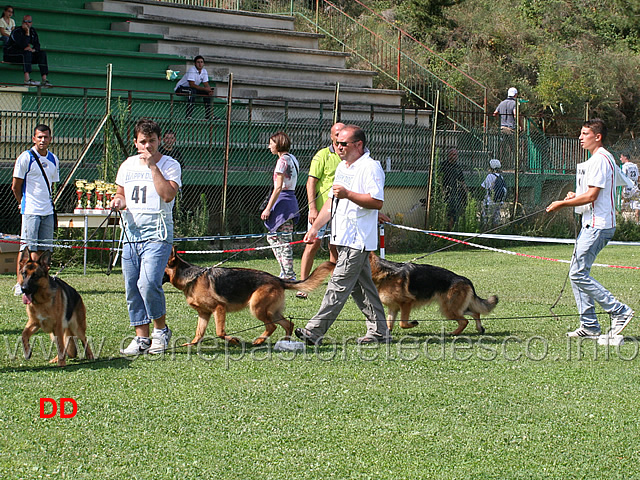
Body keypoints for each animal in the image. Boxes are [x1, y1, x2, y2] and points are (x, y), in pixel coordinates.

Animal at [164, 248, 336, 344]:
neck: (192, 278)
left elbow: (220, 332)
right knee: (288, 324)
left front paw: (233, 340)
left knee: (272, 326)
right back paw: (285, 342)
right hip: (272, 312)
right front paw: (190, 345)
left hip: (256, 308)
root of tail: (279, 279)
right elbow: (198, 333)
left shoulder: (219, 309)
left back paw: (259, 341)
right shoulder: (204, 314)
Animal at [368, 253, 498, 336]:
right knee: (475, 313)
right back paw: (479, 328)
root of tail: (464, 279)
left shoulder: (406, 303)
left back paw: (454, 333)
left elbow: (402, 323)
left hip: (448, 309)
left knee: (465, 321)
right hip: (455, 308)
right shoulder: (393, 308)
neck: (385, 273)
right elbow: (389, 323)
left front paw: (413, 323)